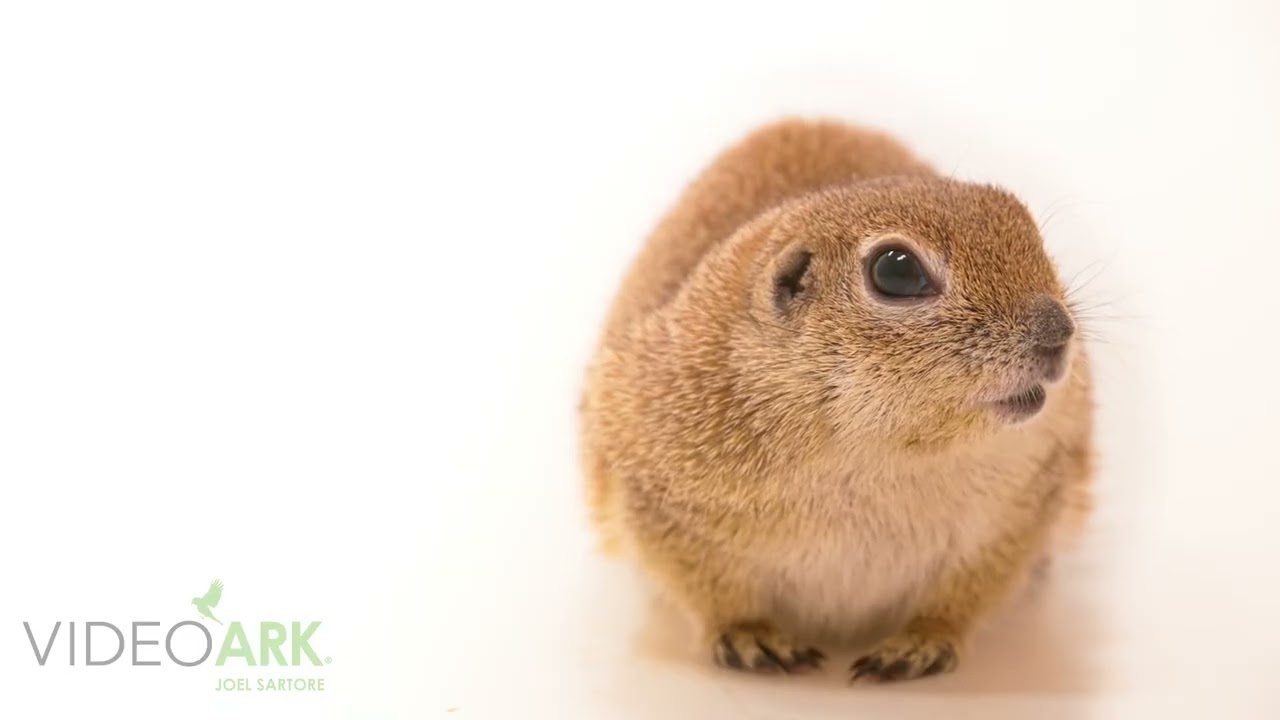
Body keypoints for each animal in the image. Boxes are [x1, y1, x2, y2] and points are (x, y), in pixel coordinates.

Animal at [579, 119, 1094, 683]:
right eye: (896, 271)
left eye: (1026, 226)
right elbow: (713, 593)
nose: (1059, 329)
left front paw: (920, 643)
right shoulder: (658, 499)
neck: (877, 456)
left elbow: (963, 598)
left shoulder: (1020, 508)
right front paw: (752, 637)